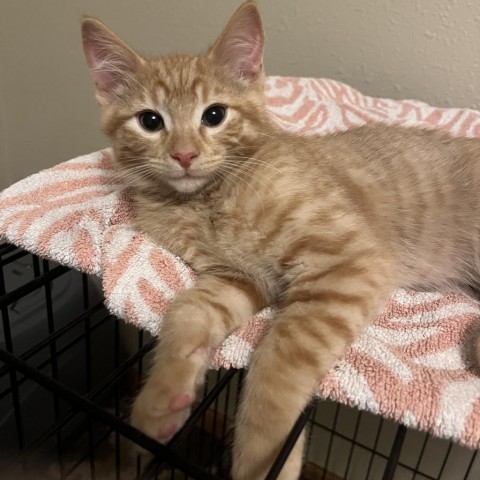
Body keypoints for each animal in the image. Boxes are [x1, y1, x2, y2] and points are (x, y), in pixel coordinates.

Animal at [80, 1, 480, 478]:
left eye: (214, 115)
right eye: (150, 121)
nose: (184, 154)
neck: (206, 199)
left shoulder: (349, 262)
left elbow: (275, 366)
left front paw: (265, 458)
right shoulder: (236, 278)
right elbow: (187, 312)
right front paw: (159, 402)